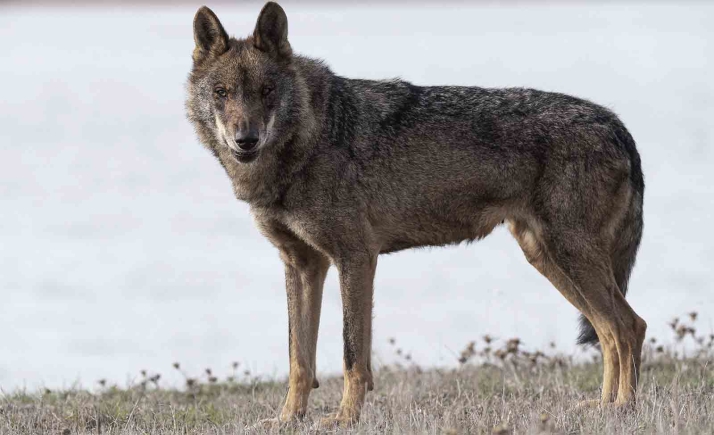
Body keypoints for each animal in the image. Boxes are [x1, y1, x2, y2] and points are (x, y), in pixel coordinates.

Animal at [186, 2, 646, 426]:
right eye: (222, 93)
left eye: (267, 91)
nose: (246, 140)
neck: (307, 139)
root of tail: (615, 124)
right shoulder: (302, 264)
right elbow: (299, 358)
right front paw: (288, 420)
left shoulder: (355, 258)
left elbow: (352, 355)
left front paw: (346, 419)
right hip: (549, 259)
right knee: (609, 331)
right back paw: (603, 408)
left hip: (569, 257)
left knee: (628, 326)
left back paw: (623, 409)